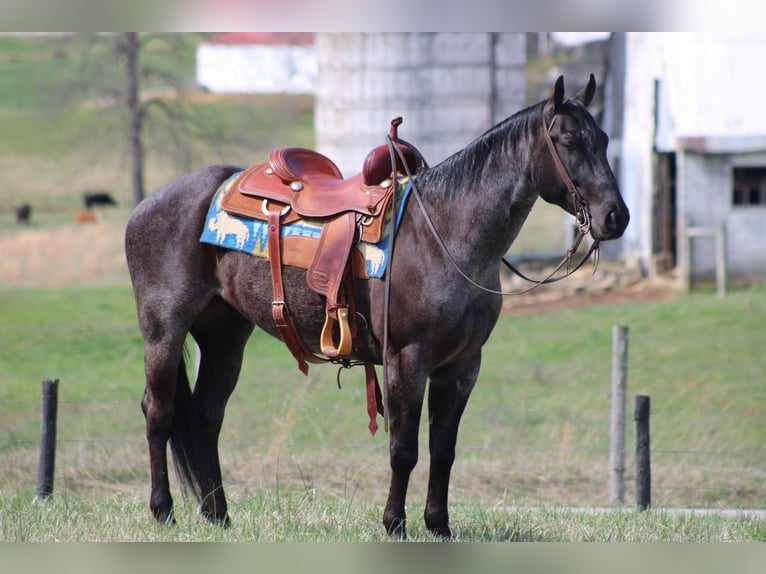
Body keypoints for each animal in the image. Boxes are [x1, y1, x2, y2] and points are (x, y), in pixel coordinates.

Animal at [124, 75, 632, 540]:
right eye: (569, 141)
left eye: (605, 139)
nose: (616, 217)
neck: (445, 233)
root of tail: (147, 204)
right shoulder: (407, 358)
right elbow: (404, 449)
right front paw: (395, 524)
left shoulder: (462, 365)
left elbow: (443, 449)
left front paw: (439, 525)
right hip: (164, 330)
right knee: (159, 412)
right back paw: (163, 511)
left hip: (226, 336)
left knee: (207, 415)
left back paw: (219, 515)